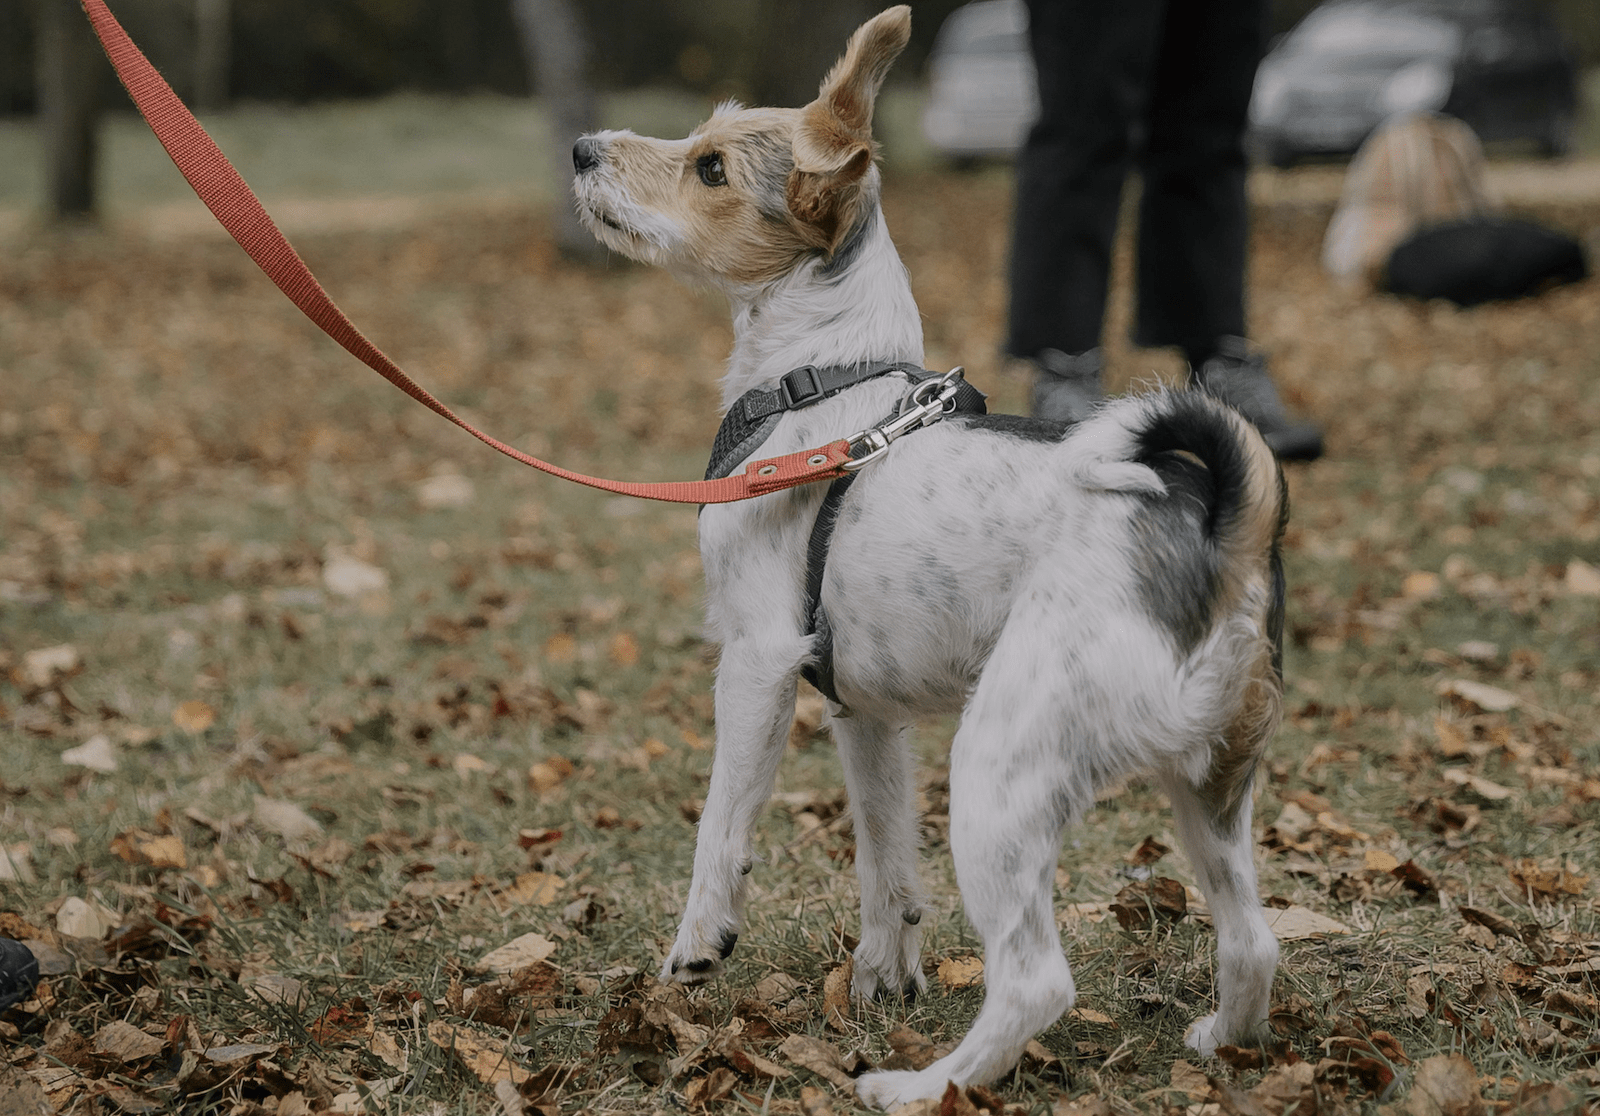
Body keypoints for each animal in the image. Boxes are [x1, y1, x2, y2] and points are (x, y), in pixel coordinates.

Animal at [572, 8, 1286, 1106]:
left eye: (709, 168)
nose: (579, 152)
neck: (824, 384)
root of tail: (1214, 533)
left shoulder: (757, 663)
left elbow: (718, 828)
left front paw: (697, 946)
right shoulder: (863, 712)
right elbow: (884, 861)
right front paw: (883, 974)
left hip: (998, 771)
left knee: (1036, 981)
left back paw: (919, 1086)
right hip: (1206, 790)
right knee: (1253, 942)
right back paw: (1218, 1039)